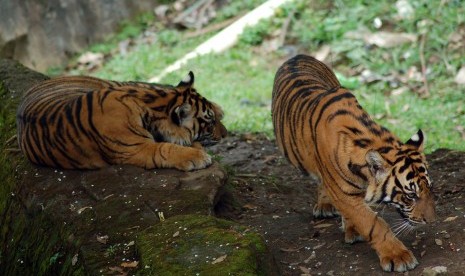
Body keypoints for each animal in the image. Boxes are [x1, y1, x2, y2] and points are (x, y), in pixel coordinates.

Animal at [270, 54, 436, 272]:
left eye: (429, 189)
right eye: (410, 196)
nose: (431, 221)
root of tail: (299, 55)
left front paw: (353, 229)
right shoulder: (344, 194)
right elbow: (374, 223)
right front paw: (398, 257)